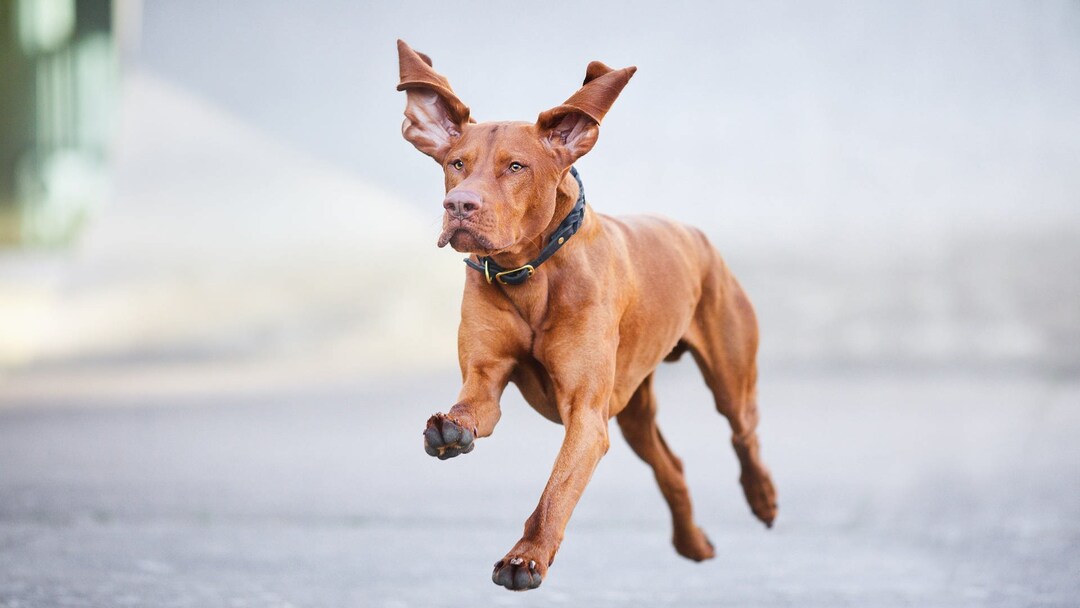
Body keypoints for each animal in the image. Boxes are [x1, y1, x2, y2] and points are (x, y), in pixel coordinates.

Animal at [397, 40, 777, 591]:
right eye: (456, 162)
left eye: (516, 167)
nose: (459, 205)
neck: (529, 274)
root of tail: (694, 233)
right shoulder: (485, 381)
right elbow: (470, 409)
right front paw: (449, 429)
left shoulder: (586, 415)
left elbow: (555, 492)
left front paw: (525, 558)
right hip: (634, 406)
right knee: (672, 467)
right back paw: (692, 543)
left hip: (729, 377)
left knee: (743, 434)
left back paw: (762, 498)